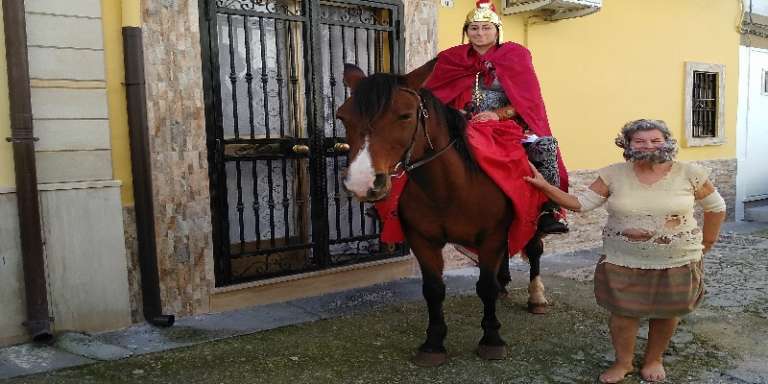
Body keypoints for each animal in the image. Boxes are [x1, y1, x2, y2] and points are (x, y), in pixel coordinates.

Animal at [338, 60, 544, 366]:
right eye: (343, 117)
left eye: (405, 115)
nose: (361, 183)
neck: (448, 190)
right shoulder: (422, 239)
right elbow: (434, 289)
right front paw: (433, 343)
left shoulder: (492, 236)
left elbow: (485, 286)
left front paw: (491, 338)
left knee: (535, 250)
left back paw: (537, 297)